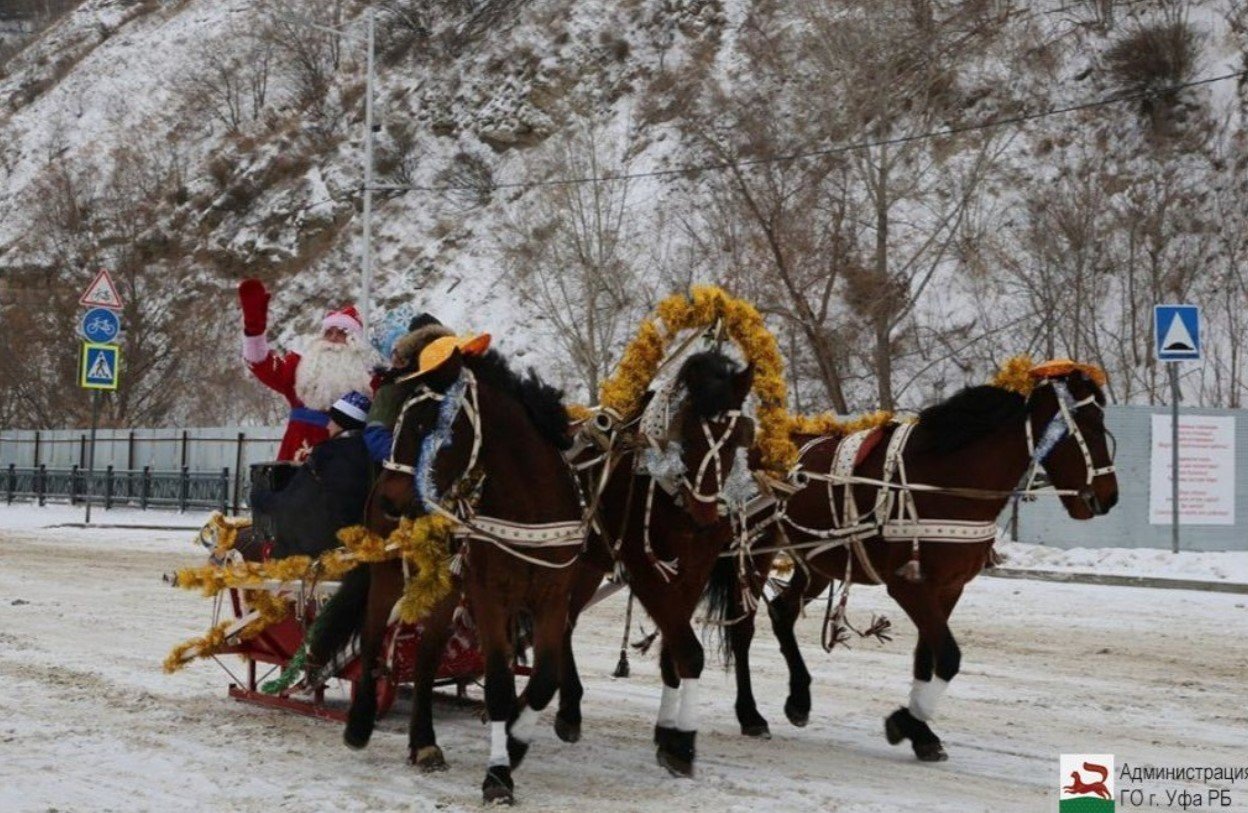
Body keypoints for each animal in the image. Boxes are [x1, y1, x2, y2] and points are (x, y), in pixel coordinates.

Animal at [344, 347, 581, 804]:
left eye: (428, 425)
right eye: (399, 420)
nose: (390, 501)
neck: (529, 506)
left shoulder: (553, 596)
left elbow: (544, 679)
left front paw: (515, 742)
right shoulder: (491, 598)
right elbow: (500, 686)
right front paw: (498, 776)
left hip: (447, 589)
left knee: (425, 658)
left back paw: (423, 743)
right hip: (389, 573)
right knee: (371, 633)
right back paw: (360, 723)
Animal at [559, 352, 753, 779]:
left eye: (737, 438)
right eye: (688, 433)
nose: (705, 513)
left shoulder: (695, 570)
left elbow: (673, 654)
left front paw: (668, 733)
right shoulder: (646, 570)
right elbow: (690, 651)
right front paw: (684, 744)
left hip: (586, 565)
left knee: (562, 621)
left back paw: (568, 708)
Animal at [713, 369, 1123, 764]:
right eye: (1085, 425)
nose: (1107, 497)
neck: (945, 481)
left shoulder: (949, 587)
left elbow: (927, 659)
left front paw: (919, 731)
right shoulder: (909, 586)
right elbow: (949, 657)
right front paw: (907, 723)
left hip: (818, 560)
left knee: (783, 612)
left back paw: (799, 699)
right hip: (755, 548)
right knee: (743, 627)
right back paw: (750, 714)